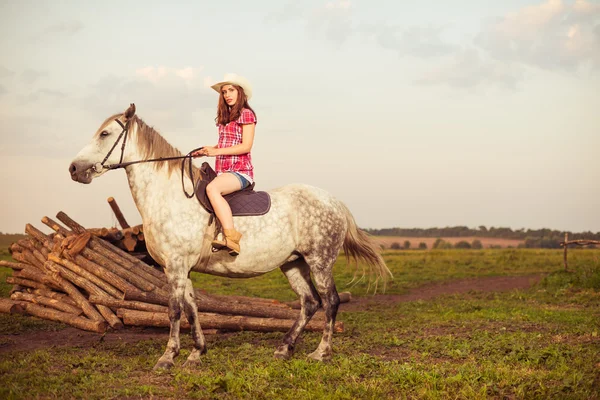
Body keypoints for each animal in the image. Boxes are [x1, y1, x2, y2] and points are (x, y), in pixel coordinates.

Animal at [68, 103, 392, 368]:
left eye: (105, 133)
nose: (73, 169)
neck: (168, 196)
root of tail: (333, 201)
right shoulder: (182, 269)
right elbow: (192, 308)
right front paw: (196, 353)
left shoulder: (175, 266)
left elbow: (174, 310)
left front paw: (167, 357)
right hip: (293, 262)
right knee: (310, 302)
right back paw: (284, 348)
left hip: (320, 260)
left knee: (330, 301)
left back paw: (321, 353)